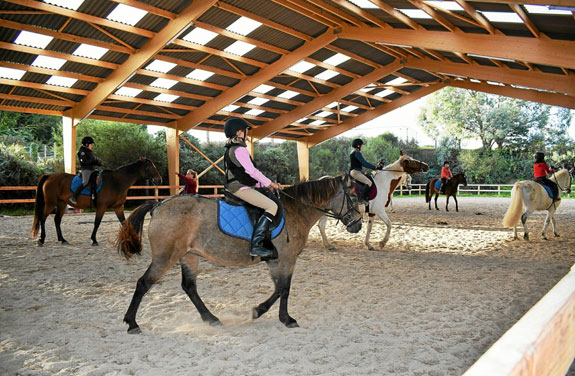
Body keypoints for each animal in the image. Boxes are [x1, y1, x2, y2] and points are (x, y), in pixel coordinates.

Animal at [31, 156, 162, 247]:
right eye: (149, 167)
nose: (159, 180)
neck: (116, 182)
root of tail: (49, 176)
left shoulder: (118, 207)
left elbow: (124, 223)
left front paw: (132, 239)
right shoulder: (102, 206)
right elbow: (97, 222)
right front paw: (94, 240)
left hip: (62, 204)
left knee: (57, 220)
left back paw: (62, 240)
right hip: (50, 203)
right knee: (43, 218)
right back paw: (41, 239)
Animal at [115, 175, 362, 334]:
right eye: (353, 197)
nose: (358, 225)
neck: (295, 210)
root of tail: (158, 206)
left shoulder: (275, 261)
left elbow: (278, 288)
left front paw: (260, 311)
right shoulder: (287, 259)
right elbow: (284, 289)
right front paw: (283, 318)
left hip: (189, 256)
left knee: (189, 287)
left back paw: (211, 319)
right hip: (165, 257)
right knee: (144, 283)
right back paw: (132, 323)